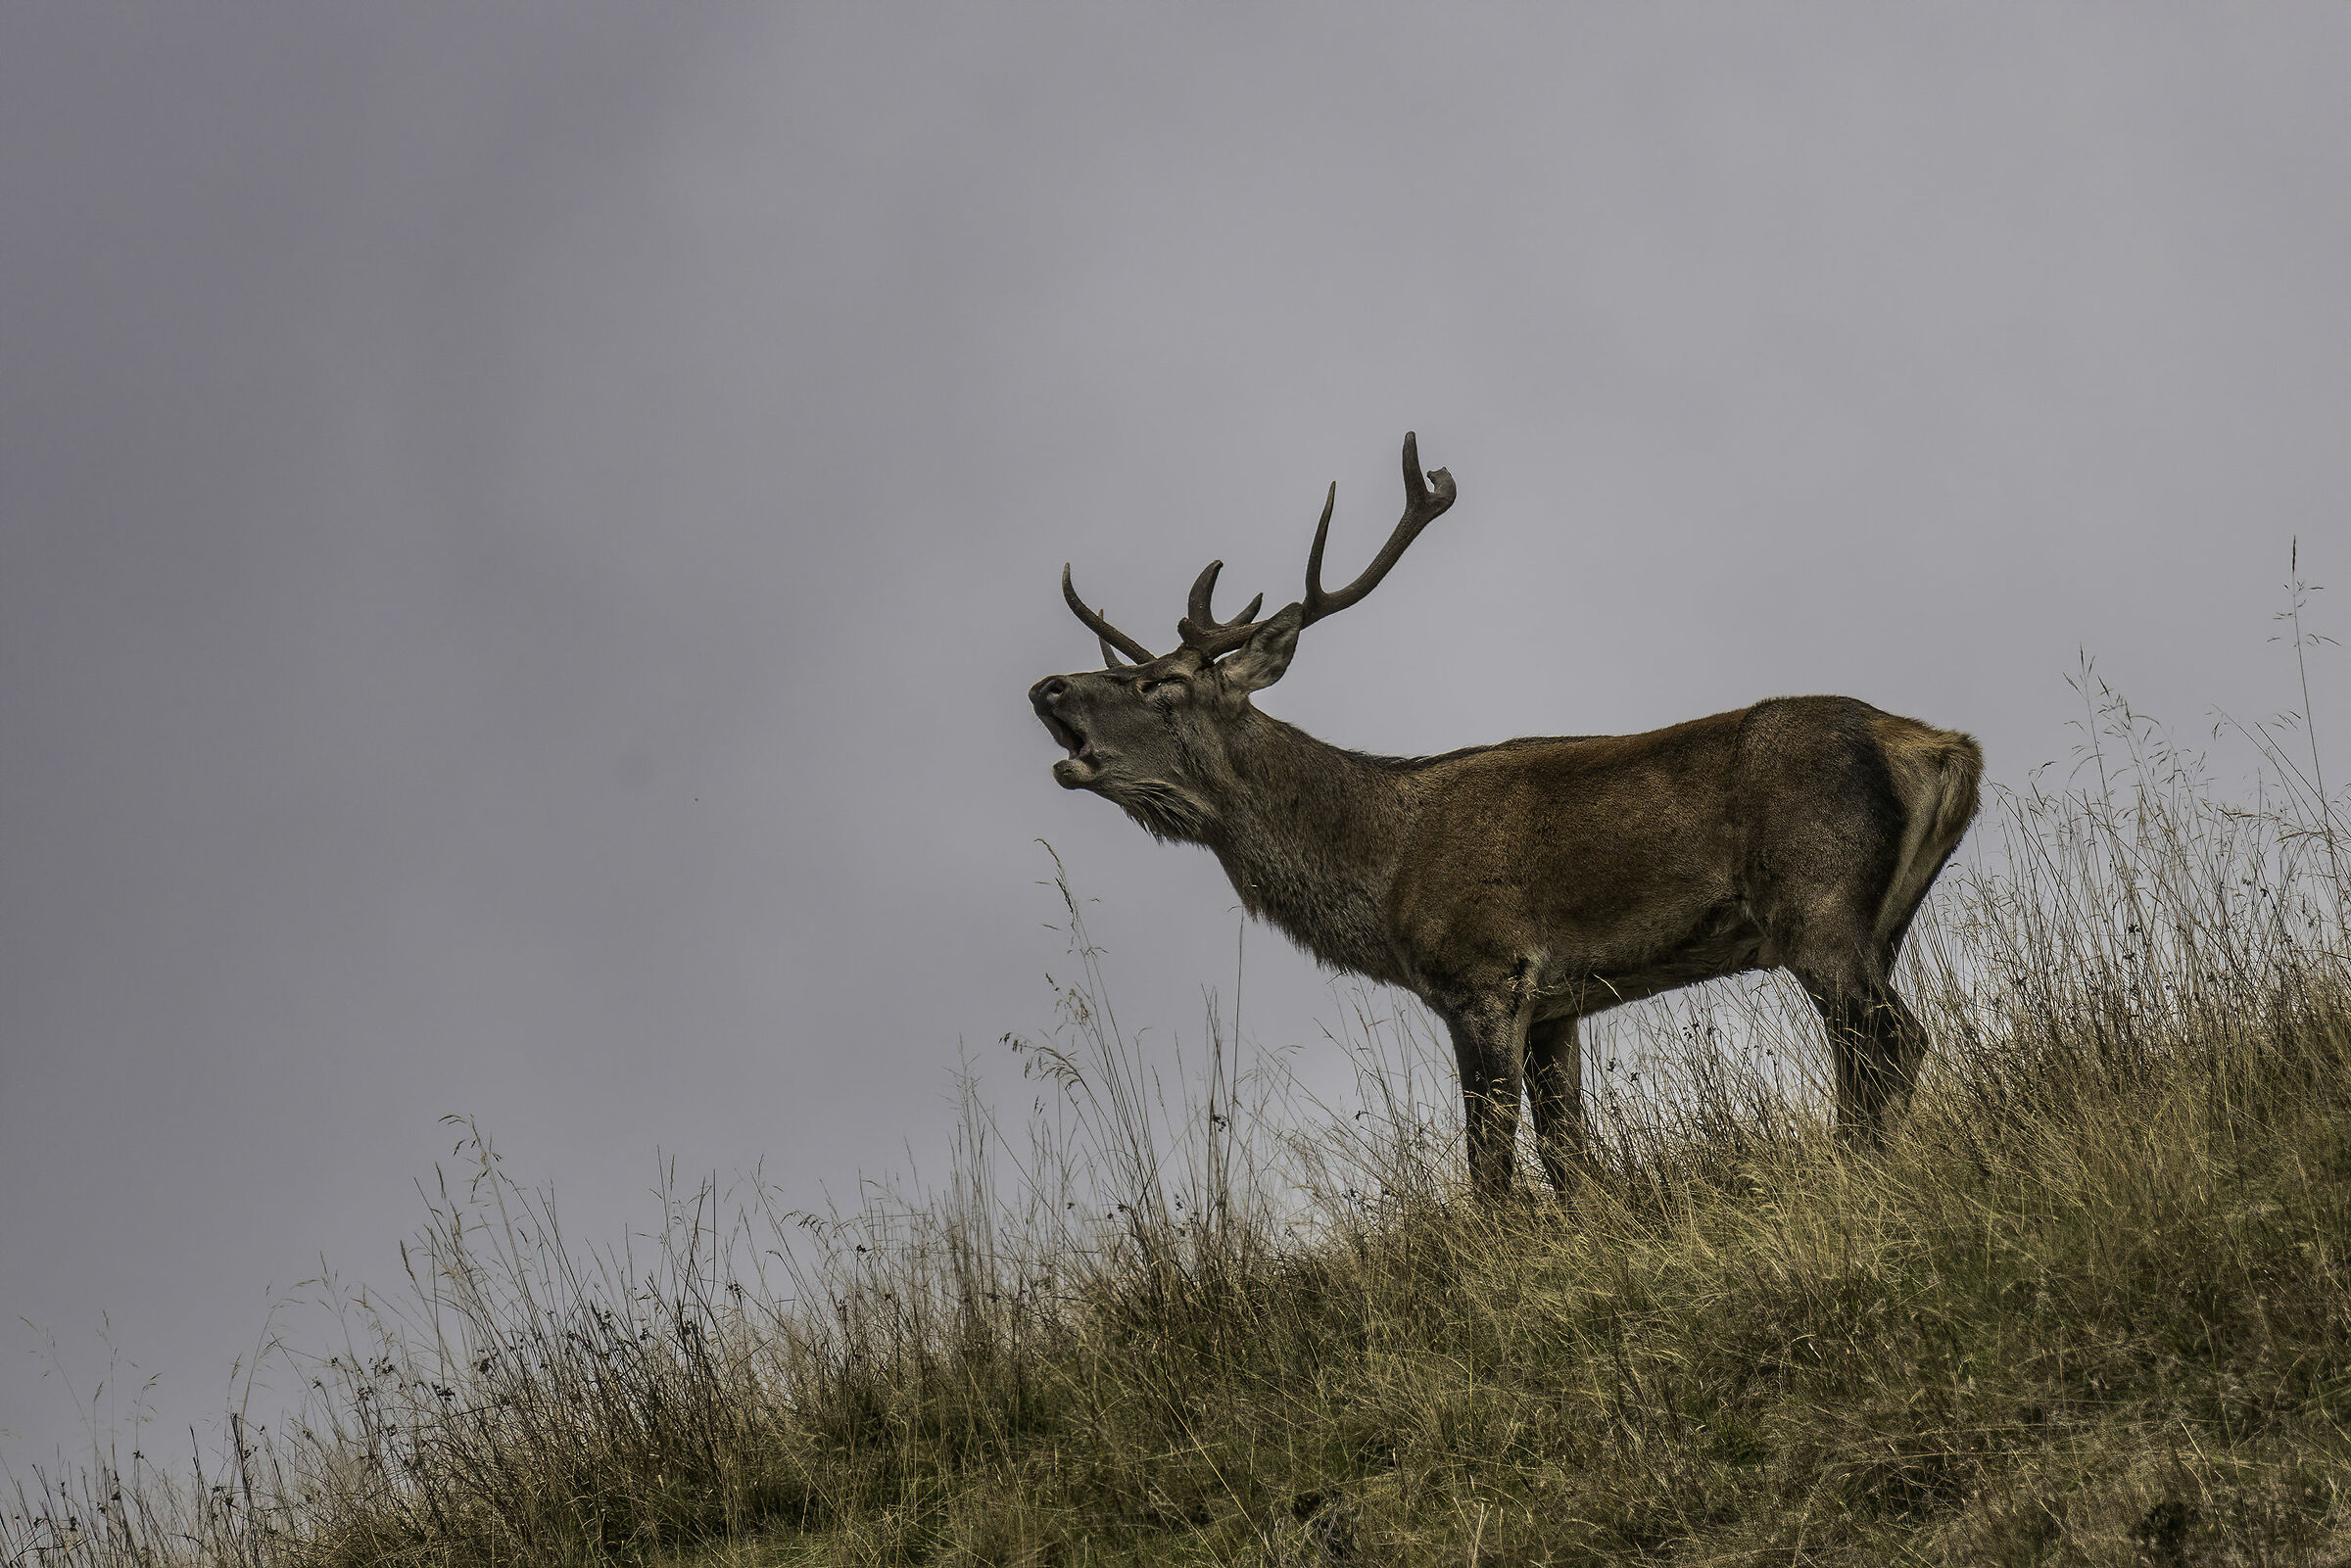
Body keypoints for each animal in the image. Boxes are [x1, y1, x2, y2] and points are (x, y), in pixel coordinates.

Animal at [1029, 434, 1982, 1199]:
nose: (1047, 686)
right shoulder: (1562, 1000)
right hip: (1880, 920)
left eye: (1160, 683)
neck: (1383, 869)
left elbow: (1490, 1167)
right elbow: (1571, 1158)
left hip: (1817, 902)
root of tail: (1945, 749)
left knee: (1893, 1044)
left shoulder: (1484, 973)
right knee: (1869, 1056)